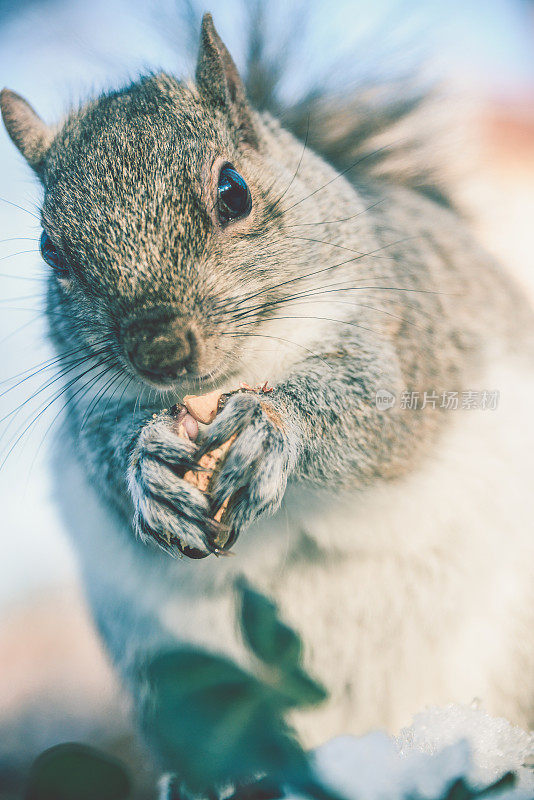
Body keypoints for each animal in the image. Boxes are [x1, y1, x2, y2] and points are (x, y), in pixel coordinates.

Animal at [1, 7, 534, 788]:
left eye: (234, 192)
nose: (160, 348)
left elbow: (376, 416)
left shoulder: (406, 335)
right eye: (50, 250)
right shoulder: (88, 403)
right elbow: (106, 465)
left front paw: (272, 425)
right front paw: (147, 468)